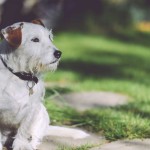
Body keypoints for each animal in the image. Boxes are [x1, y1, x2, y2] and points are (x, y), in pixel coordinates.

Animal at [0, 20, 88, 150]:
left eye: (49, 37)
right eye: (35, 39)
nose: (58, 53)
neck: (19, 76)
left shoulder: (32, 108)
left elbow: (25, 128)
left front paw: (22, 145)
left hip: (42, 114)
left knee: (34, 135)